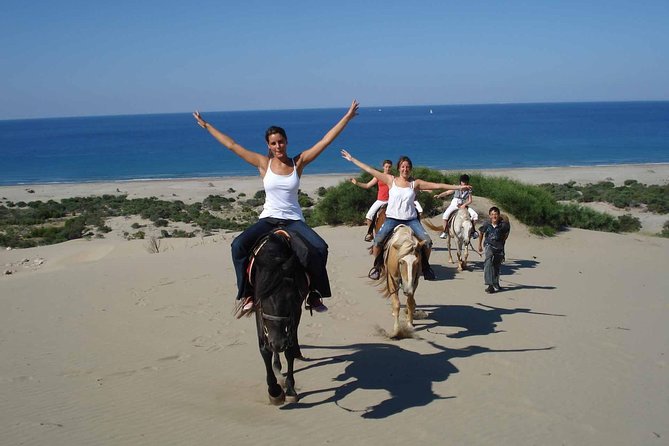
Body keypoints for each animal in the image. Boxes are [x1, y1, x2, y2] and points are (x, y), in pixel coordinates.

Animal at [249, 230, 310, 404]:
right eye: (262, 298)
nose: (278, 343)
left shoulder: (295, 310)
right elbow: (265, 350)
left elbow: (289, 350)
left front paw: (290, 388)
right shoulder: (259, 312)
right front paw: (274, 390)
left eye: (290, 298)